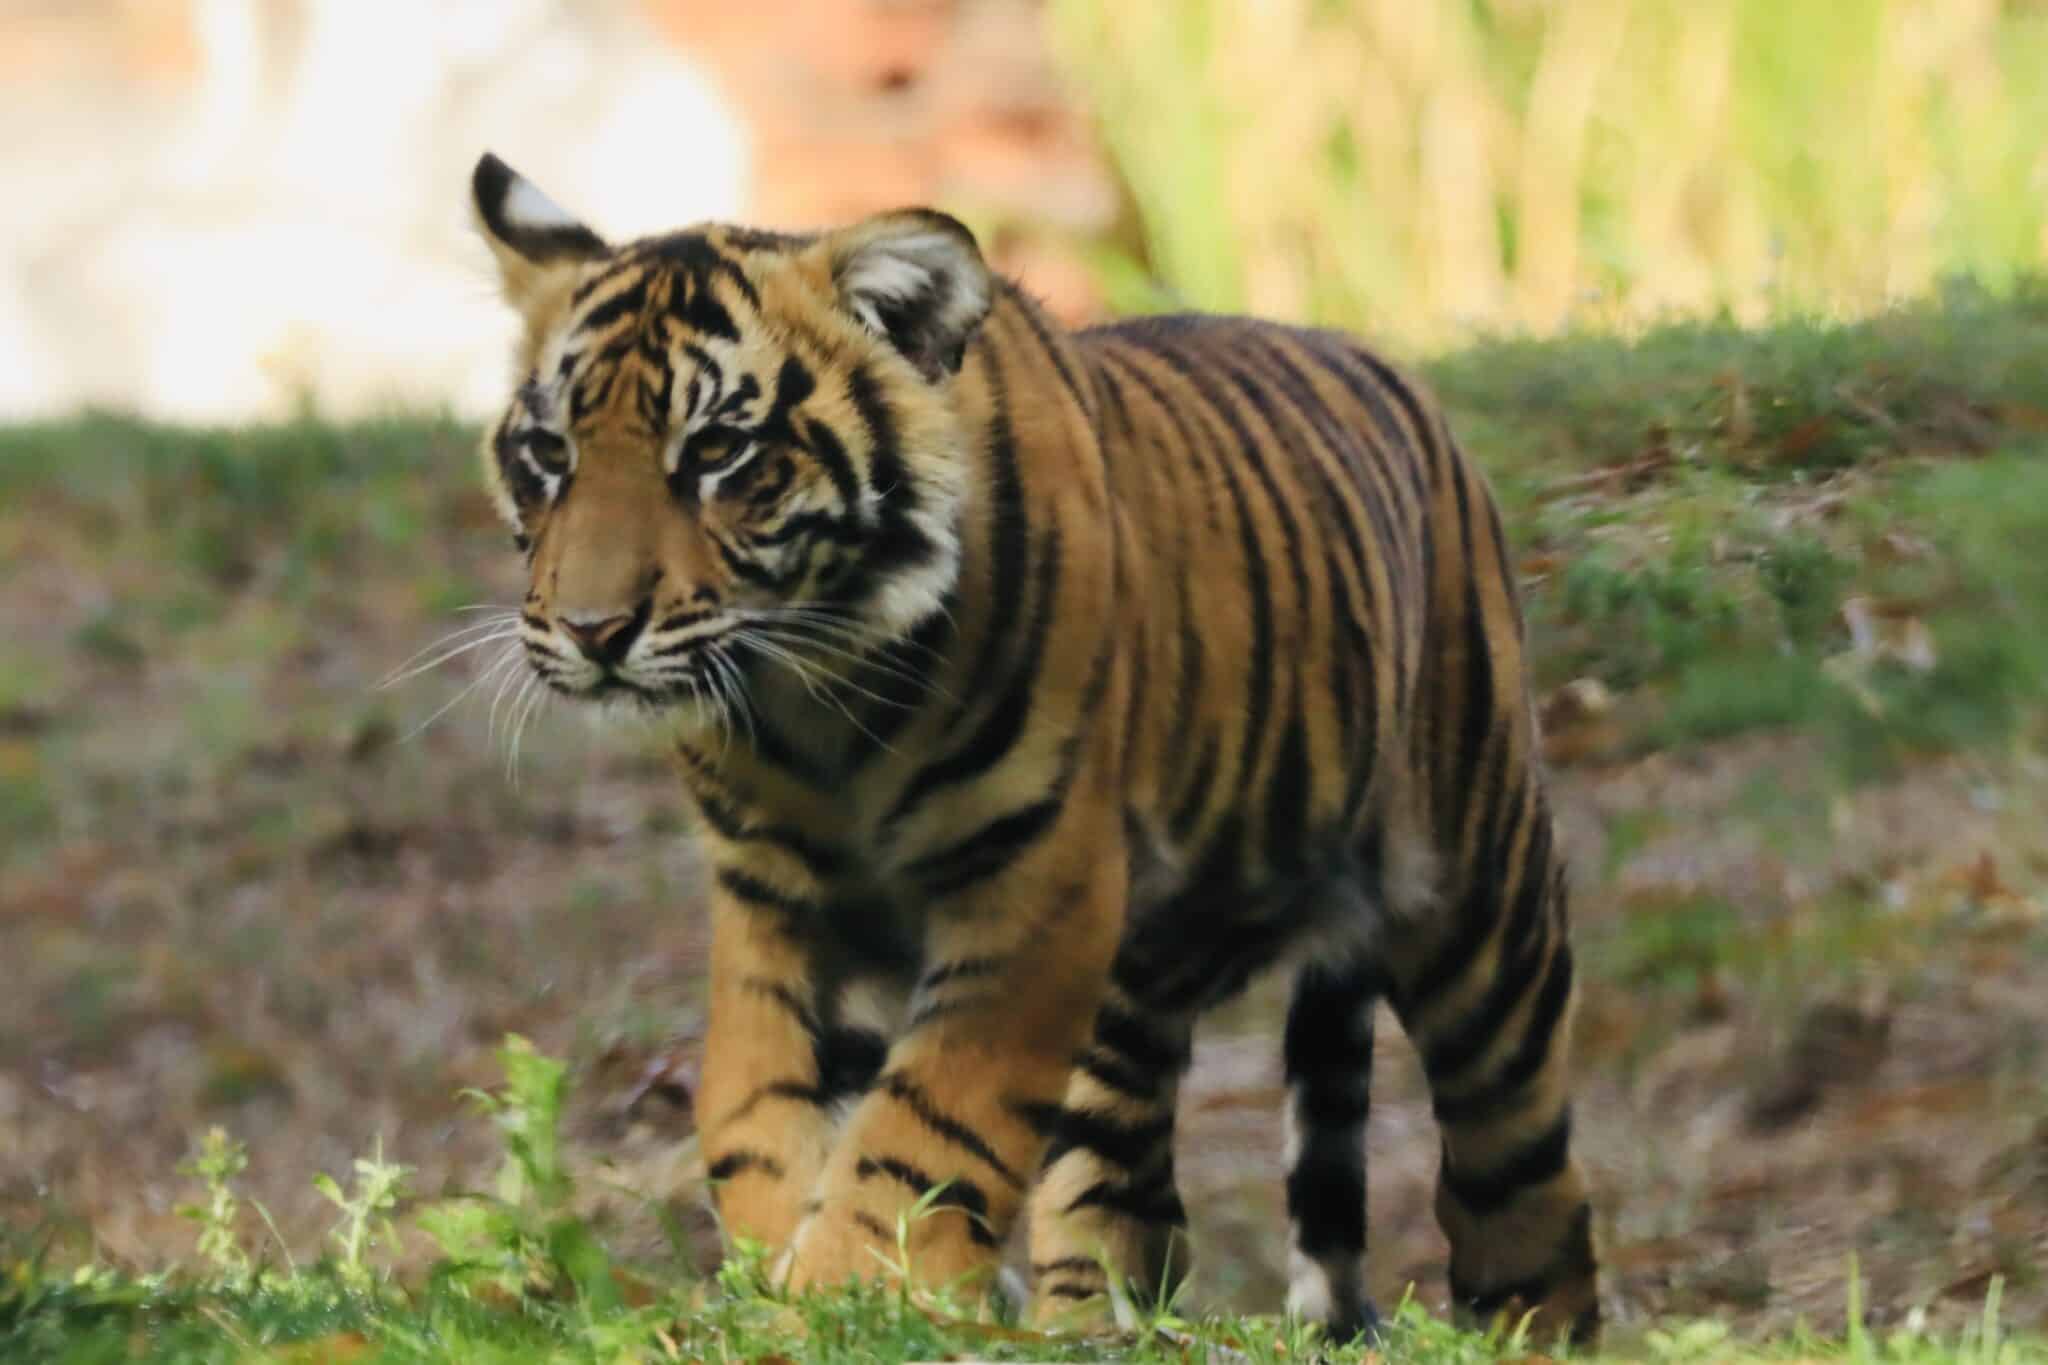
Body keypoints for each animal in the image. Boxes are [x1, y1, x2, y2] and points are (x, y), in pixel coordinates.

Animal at [464, 149, 1597, 1342]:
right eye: (549, 453)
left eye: (718, 451)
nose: (592, 632)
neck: (812, 700)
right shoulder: (773, 894)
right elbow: (755, 1098)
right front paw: (786, 1274)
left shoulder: (1035, 881)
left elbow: (928, 1119)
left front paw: (854, 1285)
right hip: (1135, 1004)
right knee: (1122, 1197)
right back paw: (1087, 1323)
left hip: (1483, 920)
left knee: (1522, 1181)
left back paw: (1530, 1323)